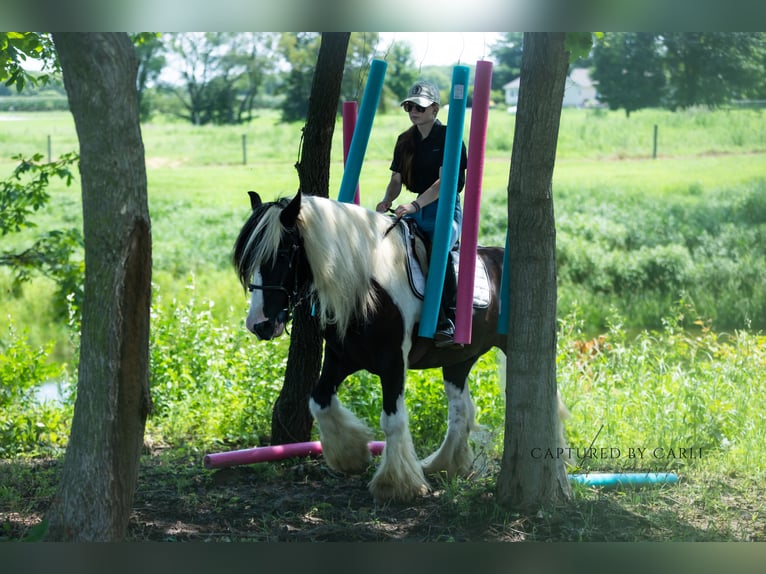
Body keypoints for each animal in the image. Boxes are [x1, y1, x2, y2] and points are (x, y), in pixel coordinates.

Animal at [233, 190, 567, 502]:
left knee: (548, 403)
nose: (258, 324)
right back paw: (446, 464)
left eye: (282, 253)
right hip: (458, 360)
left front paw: (397, 483)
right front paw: (351, 455)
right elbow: (319, 401)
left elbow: (392, 420)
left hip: (508, 347)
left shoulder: (393, 363)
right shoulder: (340, 359)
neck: (367, 287)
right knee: (461, 409)